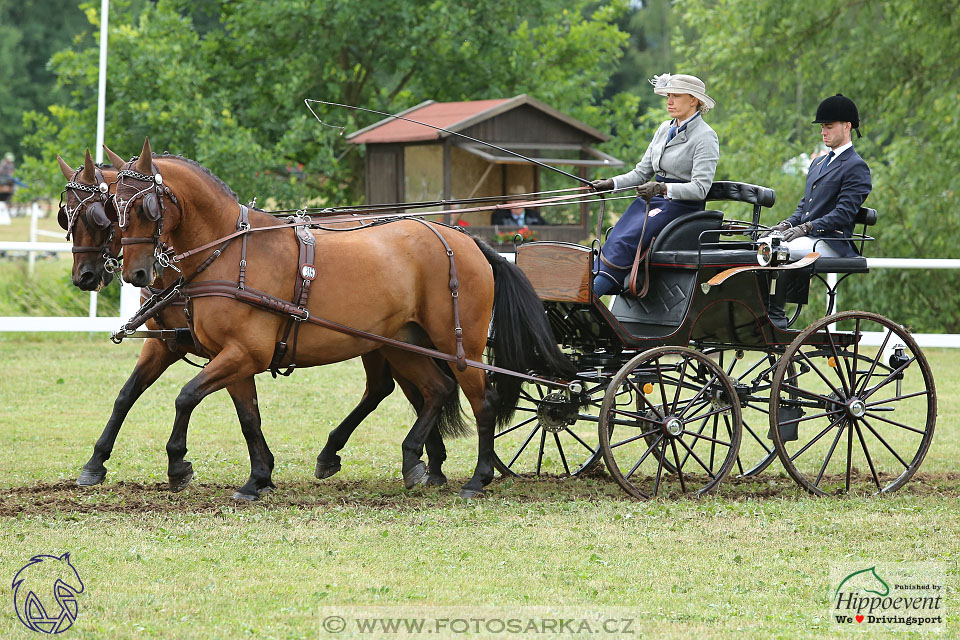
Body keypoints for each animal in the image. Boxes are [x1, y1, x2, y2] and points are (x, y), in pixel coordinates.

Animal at [60, 148, 462, 492]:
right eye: (68, 216)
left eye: (101, 214)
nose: (85, 276)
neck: (220, 252)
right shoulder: (174, 346)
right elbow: (130, 396)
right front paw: (95, 463)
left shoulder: (234, 351)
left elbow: (186, 397)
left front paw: (180, 464)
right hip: (389, 341)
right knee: (405, 389)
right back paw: (417, 461)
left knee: (409, 388)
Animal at [115, 139, 572, 500]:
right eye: (114, 208)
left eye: (145, 207)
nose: (134, 273)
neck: (230, 251)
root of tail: (466, 240)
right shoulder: (234, 356)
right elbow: (247, 417)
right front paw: (257, 479)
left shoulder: (244, 353)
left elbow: (186, 396)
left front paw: (178, 465)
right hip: (405, 342)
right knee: (435, 390)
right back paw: (411, 459)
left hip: (460, 345)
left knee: (482, 401)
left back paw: (478, 477)